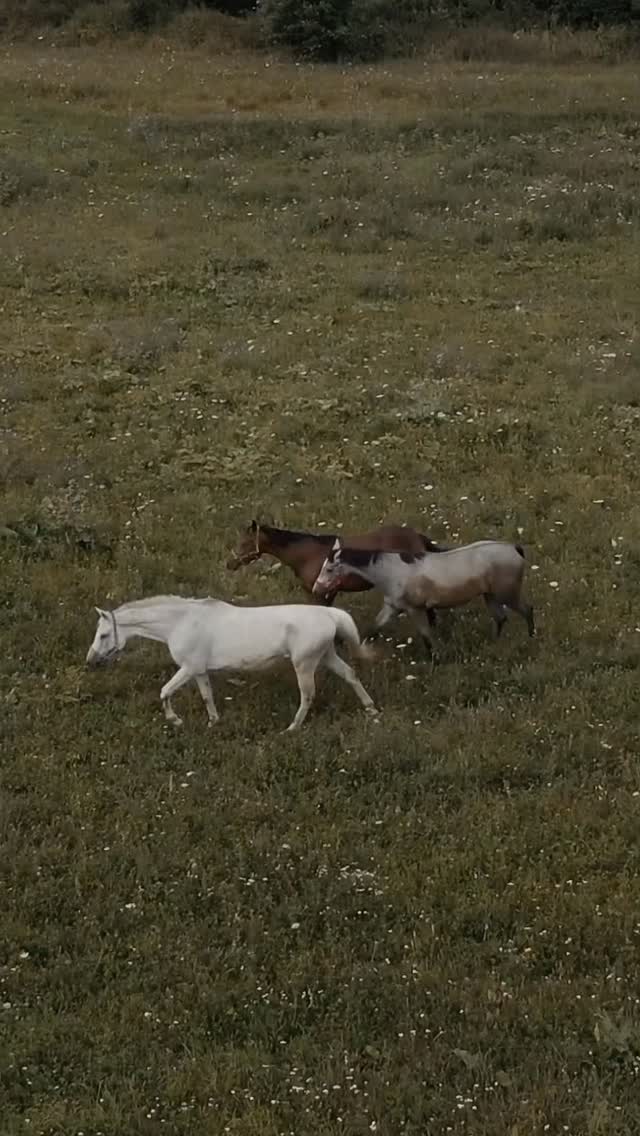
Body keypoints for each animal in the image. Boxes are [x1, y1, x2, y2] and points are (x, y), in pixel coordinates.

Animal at [85, 595, 379, 733]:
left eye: (103, 634)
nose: (90, 662)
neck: (180, 622)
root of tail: (330, 614)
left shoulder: (188, 668)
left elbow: (165, 692)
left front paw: (175, 720)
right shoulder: (199, 671)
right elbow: (207, 696)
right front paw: (213, 722)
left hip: (304, 664)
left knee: (307, 695)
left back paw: (292, 728)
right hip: (326, 655)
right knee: (351, 675)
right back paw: (371, 710)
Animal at [312, 539, 534, 653]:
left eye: (330, 569)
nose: (316, 589)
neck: (390, 570)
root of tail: (514, 548)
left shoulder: (415, 609)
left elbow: (426, 636)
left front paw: (435, 659)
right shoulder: (392, 607)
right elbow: (373, 628)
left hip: (507, 594)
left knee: (527, 610)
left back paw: (531, 638)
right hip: (491, 595)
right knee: (501, 618)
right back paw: (495, 643)